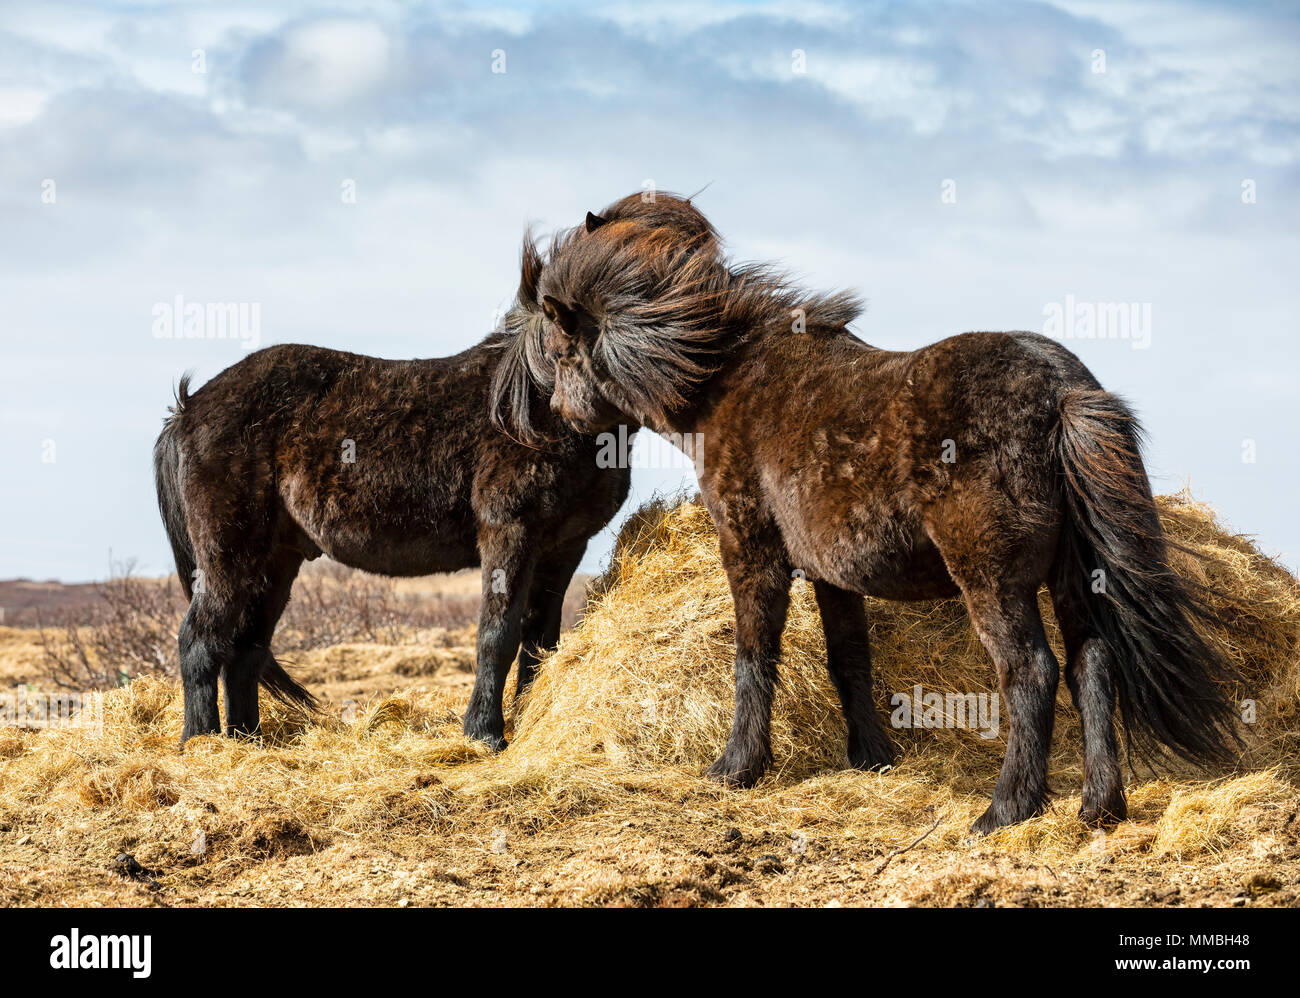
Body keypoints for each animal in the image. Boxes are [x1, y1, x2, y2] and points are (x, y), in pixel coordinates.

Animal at [154, 191, 722, 748]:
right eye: (637, 274)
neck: (536, 407)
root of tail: (188, 409)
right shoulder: (510, 534)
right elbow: (498, 634)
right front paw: (485, 734)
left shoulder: (564, 547)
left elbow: (540, 640)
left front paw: (525, 719)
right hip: (229, 556)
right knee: (200, 641)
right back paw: (201, 746)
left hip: (276, 558)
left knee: (244, 648)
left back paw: (247, 743)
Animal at [512, 194, 1242, 831]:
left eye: (558, 337)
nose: (562, 415)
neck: (727, 377)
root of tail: (1061, 389)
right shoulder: (831, 573)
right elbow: (849, 659)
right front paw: (870, 757)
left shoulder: (751, 551)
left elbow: (754, 655)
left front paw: (736, 767)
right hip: (1073, 581)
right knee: (1092, 666)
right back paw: (1098, 807)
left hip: (994, 584)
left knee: (1033, 674)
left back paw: (1005, 810)